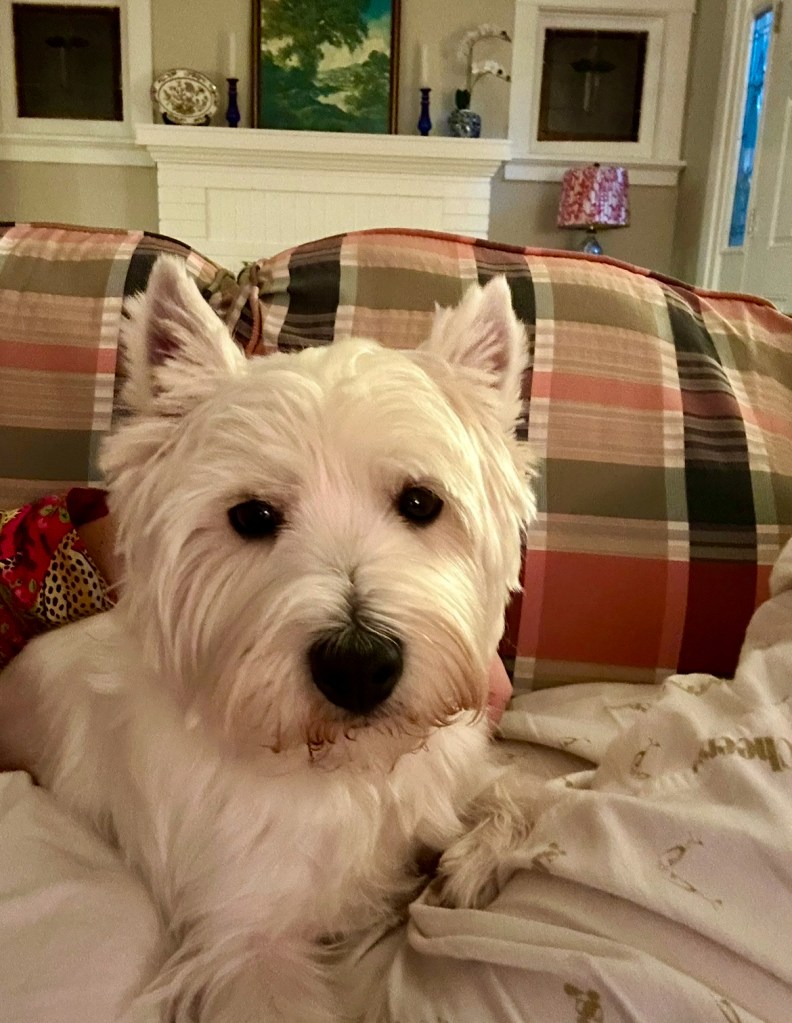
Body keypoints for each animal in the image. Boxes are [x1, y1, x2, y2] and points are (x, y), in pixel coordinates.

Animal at [0, 257, 535, 1022]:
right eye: (251, 516)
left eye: (421, 501)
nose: (359, 666)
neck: (340, 771)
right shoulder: (247, 944)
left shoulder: (448, 772)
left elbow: (523, 792)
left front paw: (463, 869)